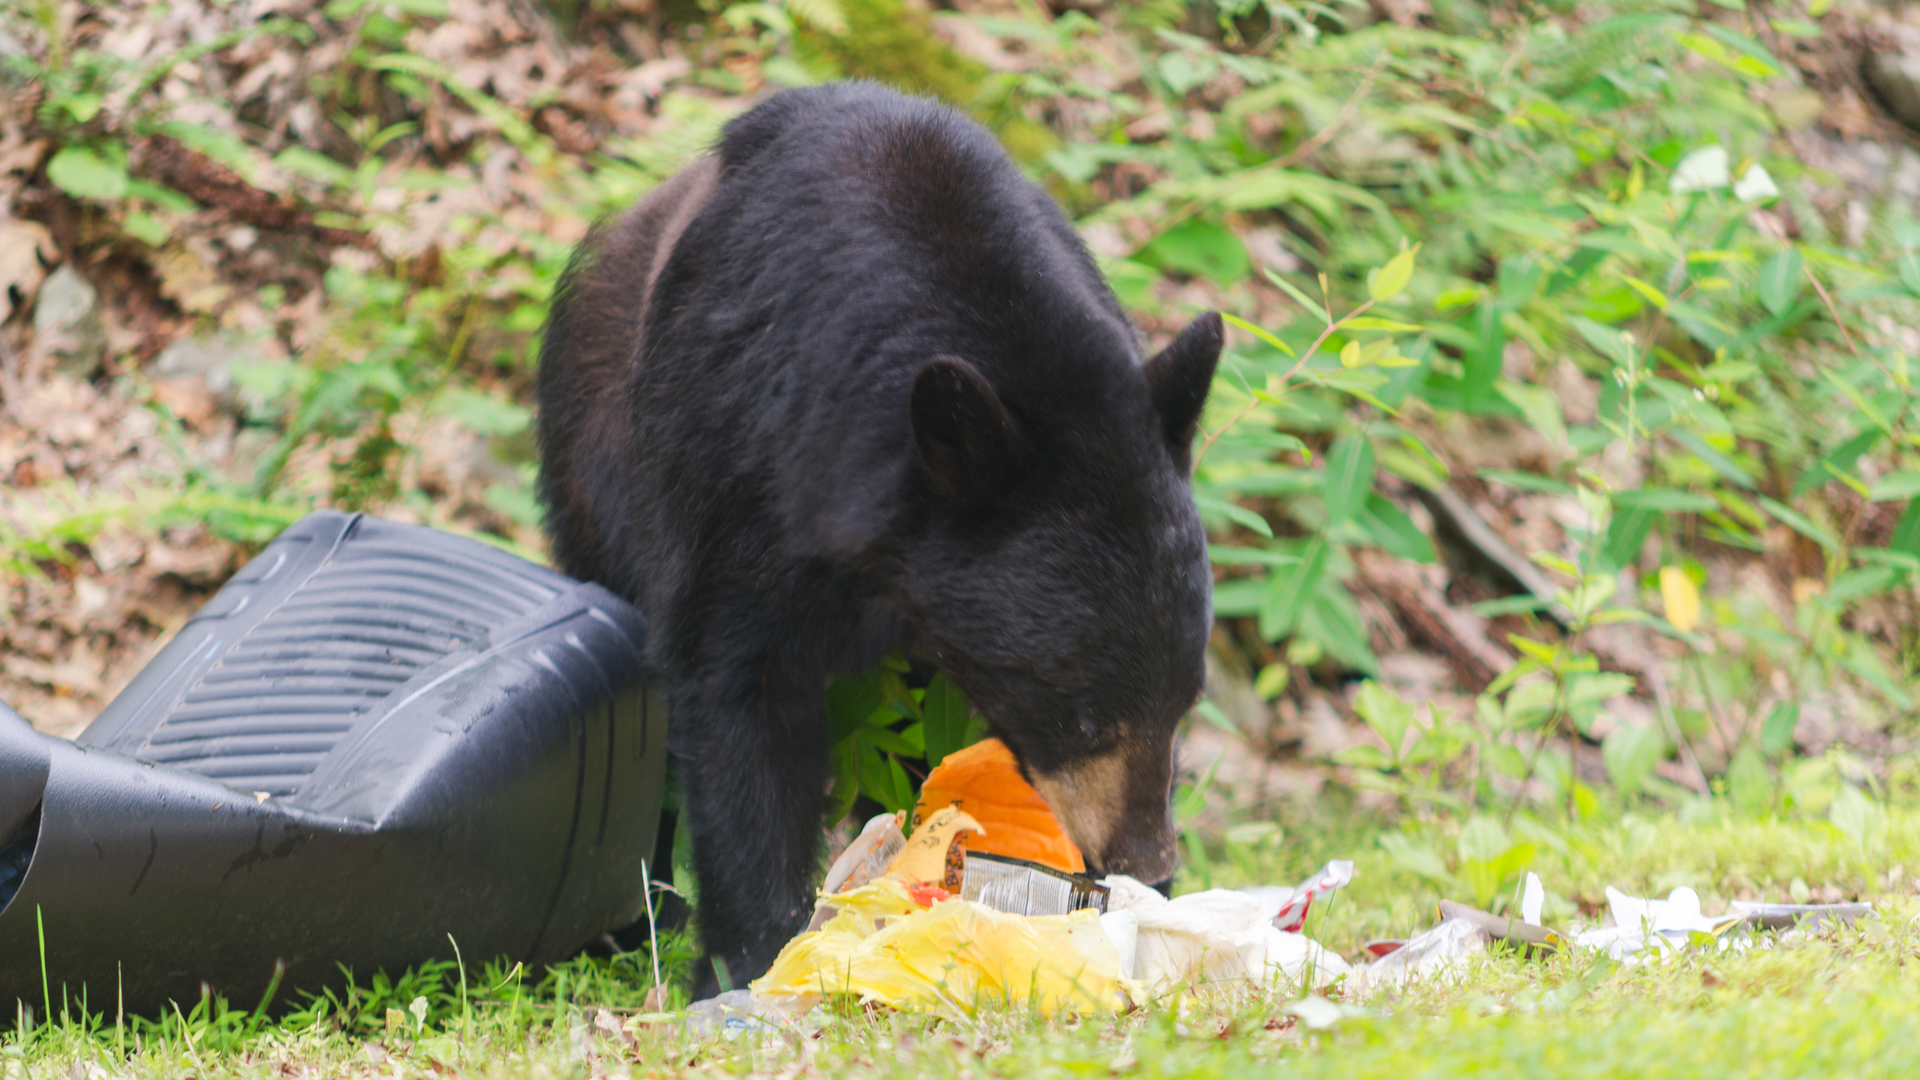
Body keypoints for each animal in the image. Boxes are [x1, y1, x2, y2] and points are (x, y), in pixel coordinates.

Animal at [536, 82, 1221, 996]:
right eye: (1080, 718)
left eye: (1186, 699)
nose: (1147, 858)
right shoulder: (735, 462)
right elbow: (736, 693)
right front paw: (754, 955)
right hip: (593, 468)